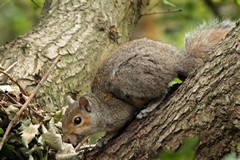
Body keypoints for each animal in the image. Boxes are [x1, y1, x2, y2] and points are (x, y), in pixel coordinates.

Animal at [61, 19, 234, 146]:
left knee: (161, 92)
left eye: (77, 120)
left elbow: (117, 128)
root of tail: (176, 61)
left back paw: (149, 106)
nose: (66, 140)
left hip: (129, 77)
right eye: (62, 119)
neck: (100, 108)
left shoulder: (119, 113)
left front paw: (105, 138)